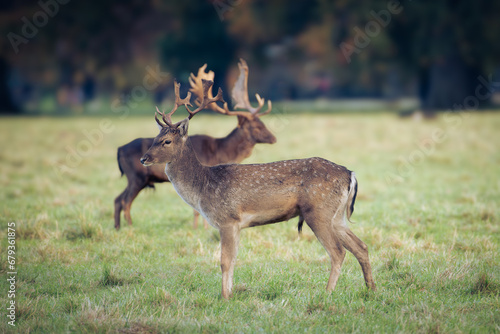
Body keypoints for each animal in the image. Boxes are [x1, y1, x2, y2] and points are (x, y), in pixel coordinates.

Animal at [114, 60, 276, 230]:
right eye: (256, 127)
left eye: (262, 123)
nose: (273, 138)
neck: (222, 152)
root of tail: (119, 150)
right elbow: (197, 210)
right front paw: (200, 228)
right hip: (136, 177)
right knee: (125, 201)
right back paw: (130, 227)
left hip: (136, 179)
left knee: (117, 199)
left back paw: (118, 228)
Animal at [140, 79, 376, 300]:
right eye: (154, 139)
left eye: (166, 141)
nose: (143, 158)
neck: (202, 187)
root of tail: (350, 174)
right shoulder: (235, 225)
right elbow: (234, 259)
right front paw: (231, 293)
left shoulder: (227, 219)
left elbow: (225, 261)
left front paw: (225, 298)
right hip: (337, 216)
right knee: (361, 246)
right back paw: (371, 289)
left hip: (318, 211)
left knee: (338, 251)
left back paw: (327, 293)